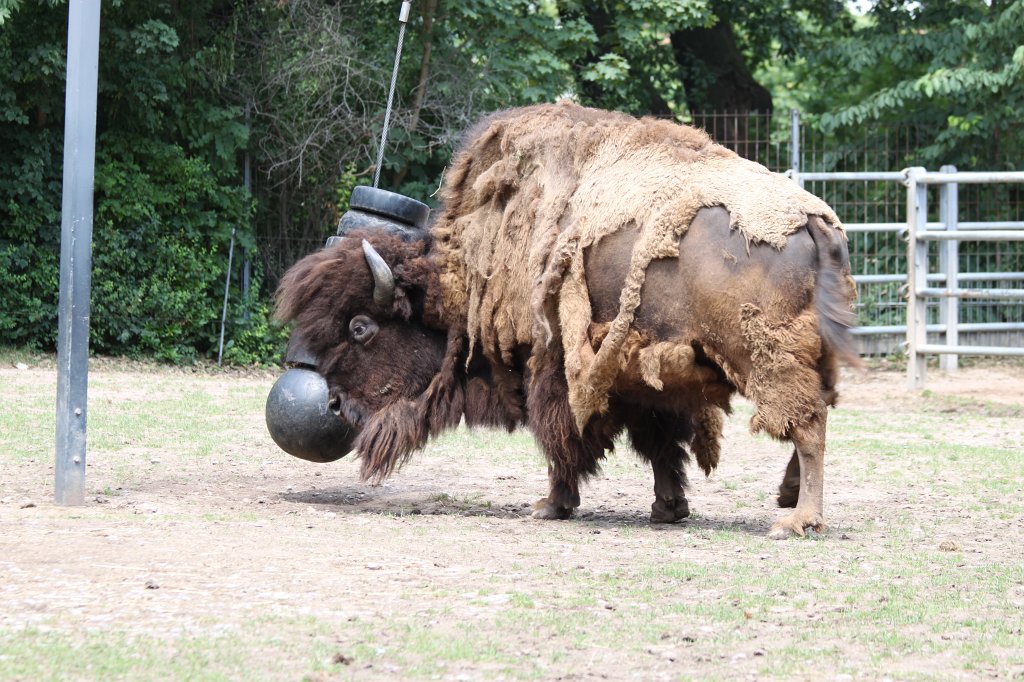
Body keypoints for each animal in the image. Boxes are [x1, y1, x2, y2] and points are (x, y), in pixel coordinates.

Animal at [273, 102, 858, 538]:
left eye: (360, 327)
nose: (332, 405)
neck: (470, 275)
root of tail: (813, 219)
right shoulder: (644, 377)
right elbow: (659, 443)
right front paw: (667, 509)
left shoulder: (551, 368)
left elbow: (561, 439)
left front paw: (551, 505)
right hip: (809, 355)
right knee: (817, 412)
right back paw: (787, 497)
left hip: (763, 355)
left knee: (808, 425)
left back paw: (797, 521)